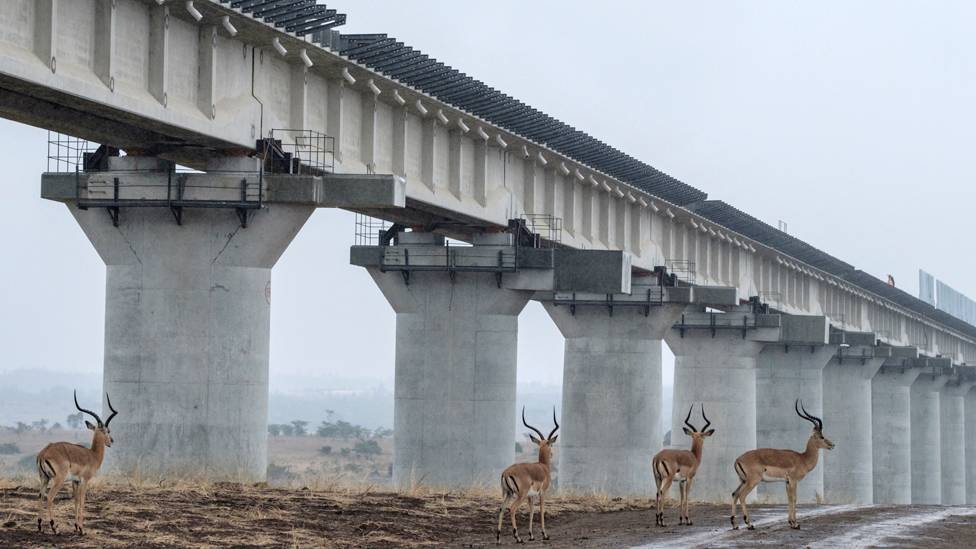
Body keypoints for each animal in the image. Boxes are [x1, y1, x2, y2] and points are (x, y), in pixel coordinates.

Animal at [35, 390, 118, 536]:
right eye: (108, 430)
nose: (111, 441)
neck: (92, 455)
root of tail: (44, 452)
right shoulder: (85, 480)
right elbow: (83, 500)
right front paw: (82, 529)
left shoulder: (75, 481)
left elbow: (76, 500)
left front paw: (76, 526)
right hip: (59, 480)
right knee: (49, 497)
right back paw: (55, 528)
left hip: (44, 478)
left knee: (41, 495)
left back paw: (40, 527)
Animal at [496, 404, 556, 540]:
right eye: (551, 445)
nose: (552, 454)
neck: (543, 466)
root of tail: (506, 473)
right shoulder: (543, 491)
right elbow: (541, 509)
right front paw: (544, 534)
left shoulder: (530, 496)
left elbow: (531, 511)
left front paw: (531, 535)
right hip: (520, 495)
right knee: (511, 509)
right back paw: (518, 538)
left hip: (507, 493)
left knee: (502, 509)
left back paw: (498, 538)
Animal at [728, 398, 836, 532]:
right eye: (821, 436)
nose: (832, 445)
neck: (803, 458)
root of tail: (737, 459)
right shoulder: (794, 480)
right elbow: (794, 498)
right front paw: (796, 524)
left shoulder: (787, 481)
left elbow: (789, 498)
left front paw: (791, 522)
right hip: (753, 481)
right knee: (742, 495)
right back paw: (749, 525)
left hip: (743, 480)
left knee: (734, 494)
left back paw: (735, 525)